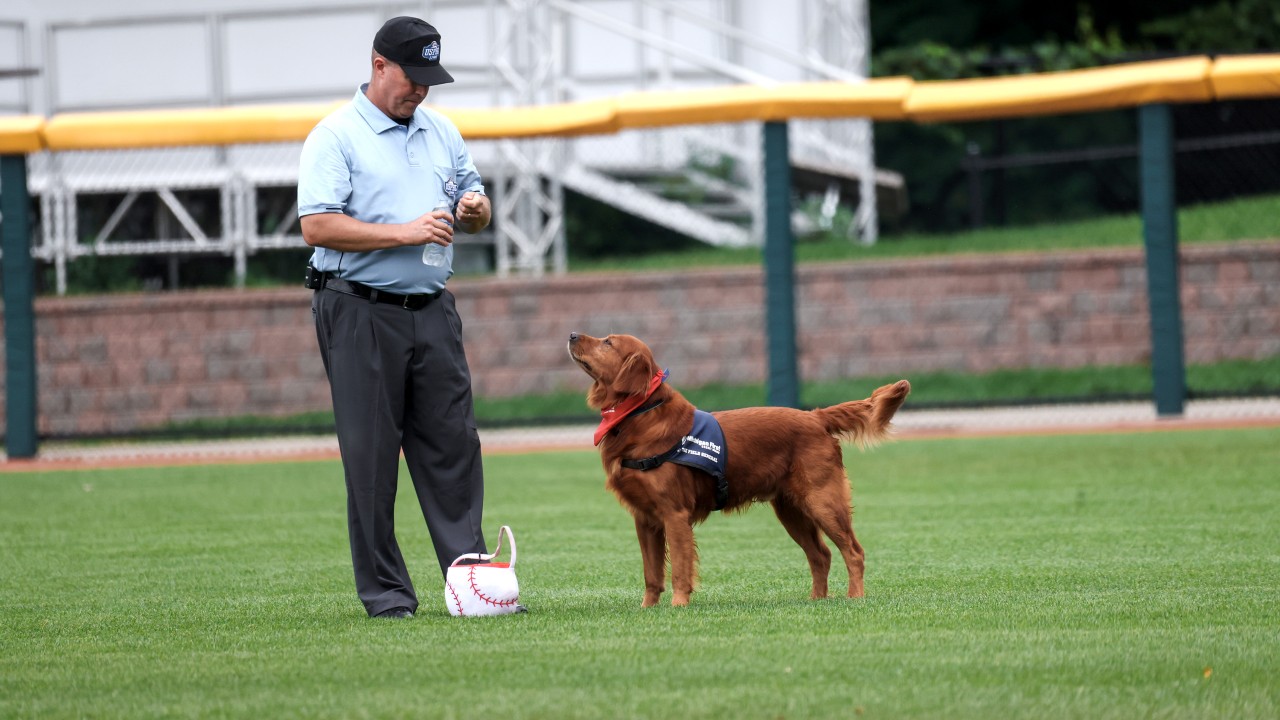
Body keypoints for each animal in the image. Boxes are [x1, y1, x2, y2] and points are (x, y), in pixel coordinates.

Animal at [570, 330, 911, 604]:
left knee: (853, 551)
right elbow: (652, 574)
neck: (640, 413)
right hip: (791, 510)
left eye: (608, 342)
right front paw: (648, 609)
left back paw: (855, 598)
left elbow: (679, 568)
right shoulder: (645, 519)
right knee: (821, 555)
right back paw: (817, 600)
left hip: (823, 501)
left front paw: (678, 606)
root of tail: (816, 416)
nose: (572, 334)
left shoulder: (674, 514)